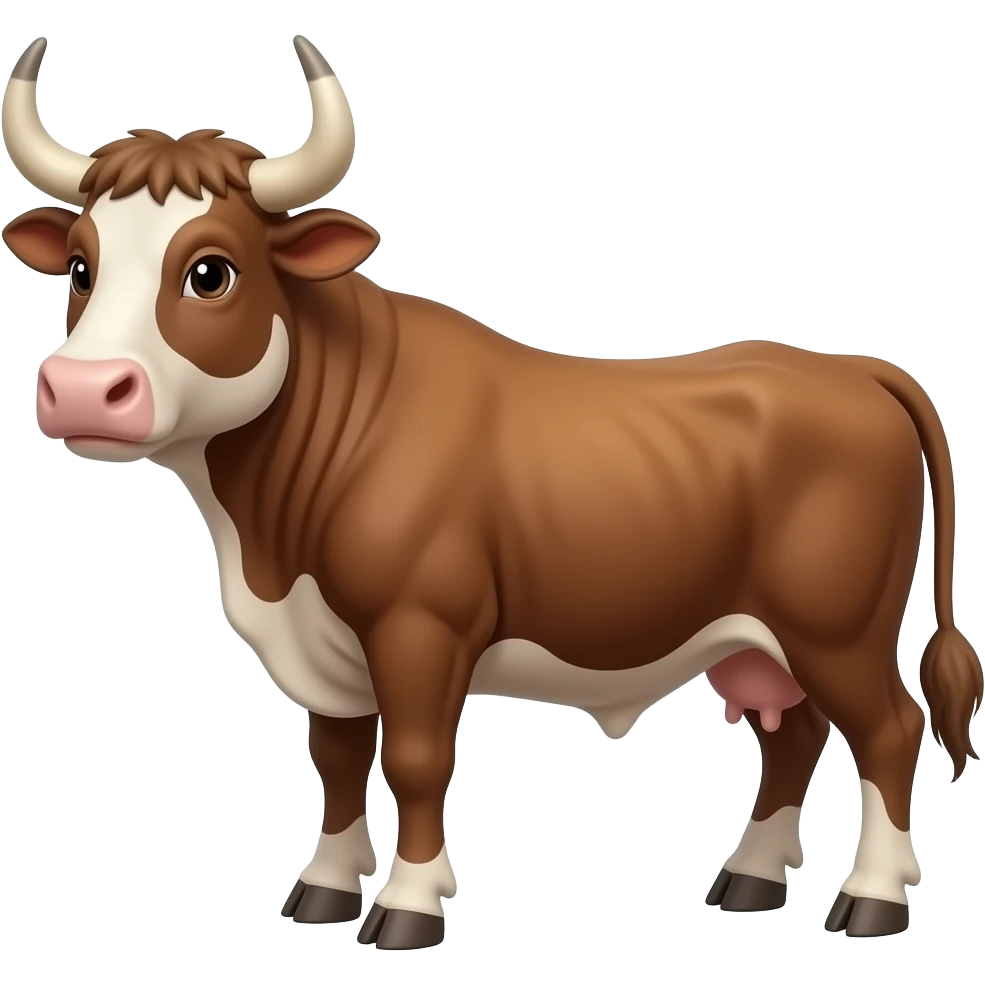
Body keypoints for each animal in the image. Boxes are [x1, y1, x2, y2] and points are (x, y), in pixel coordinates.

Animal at [4, 34, 982, 949]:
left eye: (210, 270)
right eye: (81, 267)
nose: (81, 390)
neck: (268, 544)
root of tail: (849, 369)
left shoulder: (420, 625)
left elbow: (415, 759)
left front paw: (406, 905)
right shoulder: (327, 647)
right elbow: (337, 757)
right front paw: (323, 889)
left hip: (837, 626)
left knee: (888, 731)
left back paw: (871, 899)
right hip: (763, 636)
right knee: (795, 734)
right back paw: (747, 878)